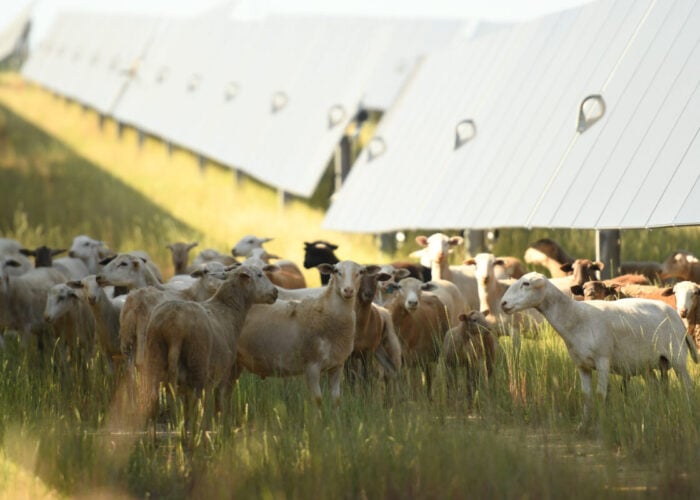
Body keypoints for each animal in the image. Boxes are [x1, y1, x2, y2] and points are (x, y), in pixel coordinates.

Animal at [143, 264, 278, 413]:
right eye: (259, 275)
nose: (275, 292)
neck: (228, 309)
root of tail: (173, 327)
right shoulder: (224, 372)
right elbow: (219, 401)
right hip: (198, 365)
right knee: (196, 406)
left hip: (154, 358)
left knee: (152, 398)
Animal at [236, 260, 377, 405]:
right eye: (336, 271)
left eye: (361, 272)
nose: (348, 290)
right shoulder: (311, 367)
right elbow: (317, 399)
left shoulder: (337, 365)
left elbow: (336, 399)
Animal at [500, 272, 698, 423]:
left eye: (526, 283)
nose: (502, 304)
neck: (575, 317)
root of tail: (676, 316)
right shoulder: (582, 365)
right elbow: (586, 396)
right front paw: (584, 424)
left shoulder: (603, 361)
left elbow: (600, 394)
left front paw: (601, 425)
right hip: (649, 364)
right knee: (656, 388)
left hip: (677, 357)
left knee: (688, 387)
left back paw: (688, 411)